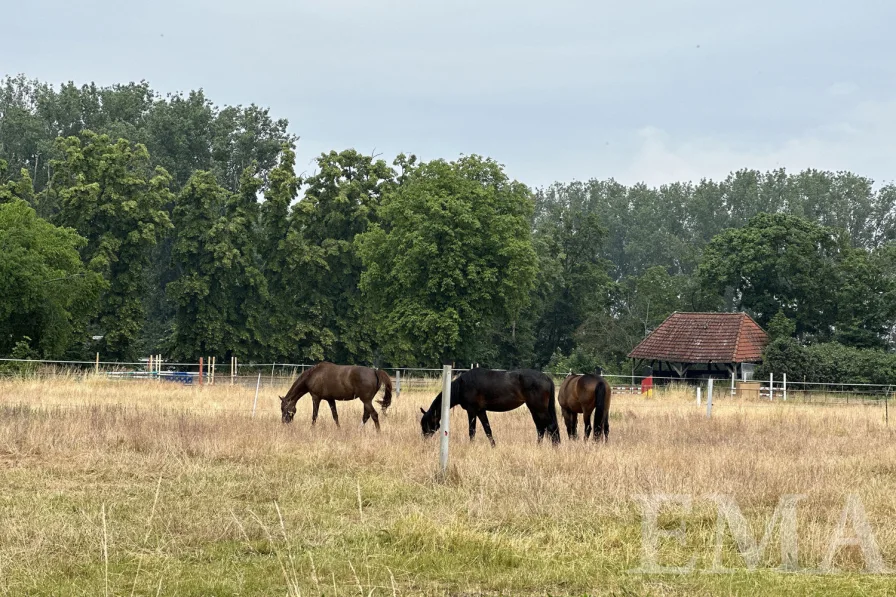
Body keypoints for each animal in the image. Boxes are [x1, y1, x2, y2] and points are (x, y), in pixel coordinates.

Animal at [420, 366, 560, 444]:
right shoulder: (481, 411)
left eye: (426, 423)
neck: (462, 385)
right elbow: (488, 430)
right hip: (534, 409)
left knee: (550, 426)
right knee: (541, 428)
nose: (424, 440)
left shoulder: (472, 411)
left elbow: (472, 431)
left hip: (539, 409)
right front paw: (493, 446)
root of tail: (547, 378)